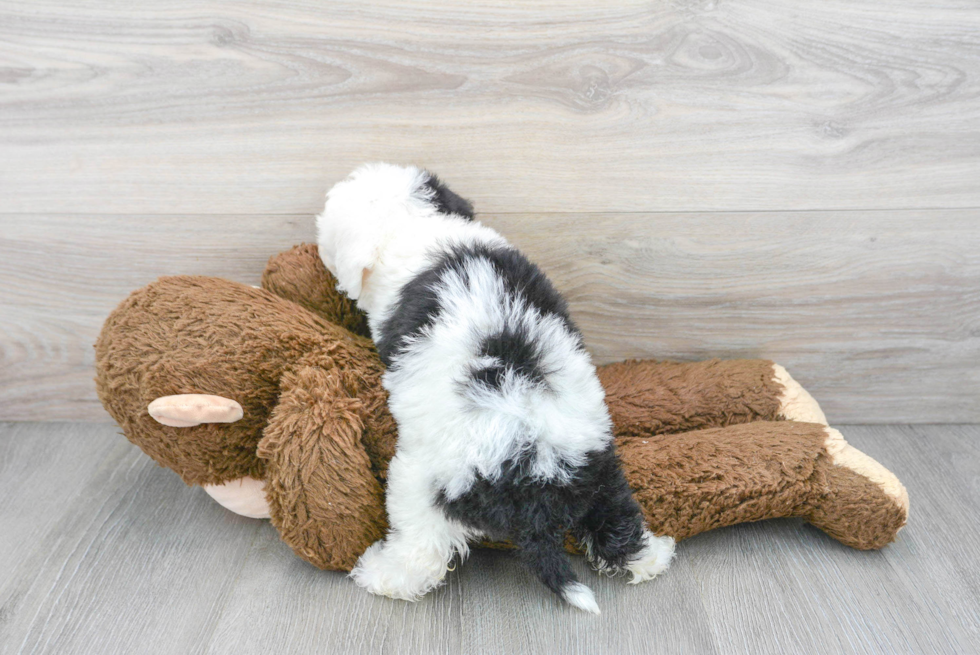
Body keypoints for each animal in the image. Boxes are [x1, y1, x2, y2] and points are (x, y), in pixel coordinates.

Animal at [316, 161, 672, 612]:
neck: (416, 224)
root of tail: (537, 471)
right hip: (601, 467)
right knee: (617, 519)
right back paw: (652, 557)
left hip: (424, 482)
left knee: (424, 547)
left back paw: (384, 576)